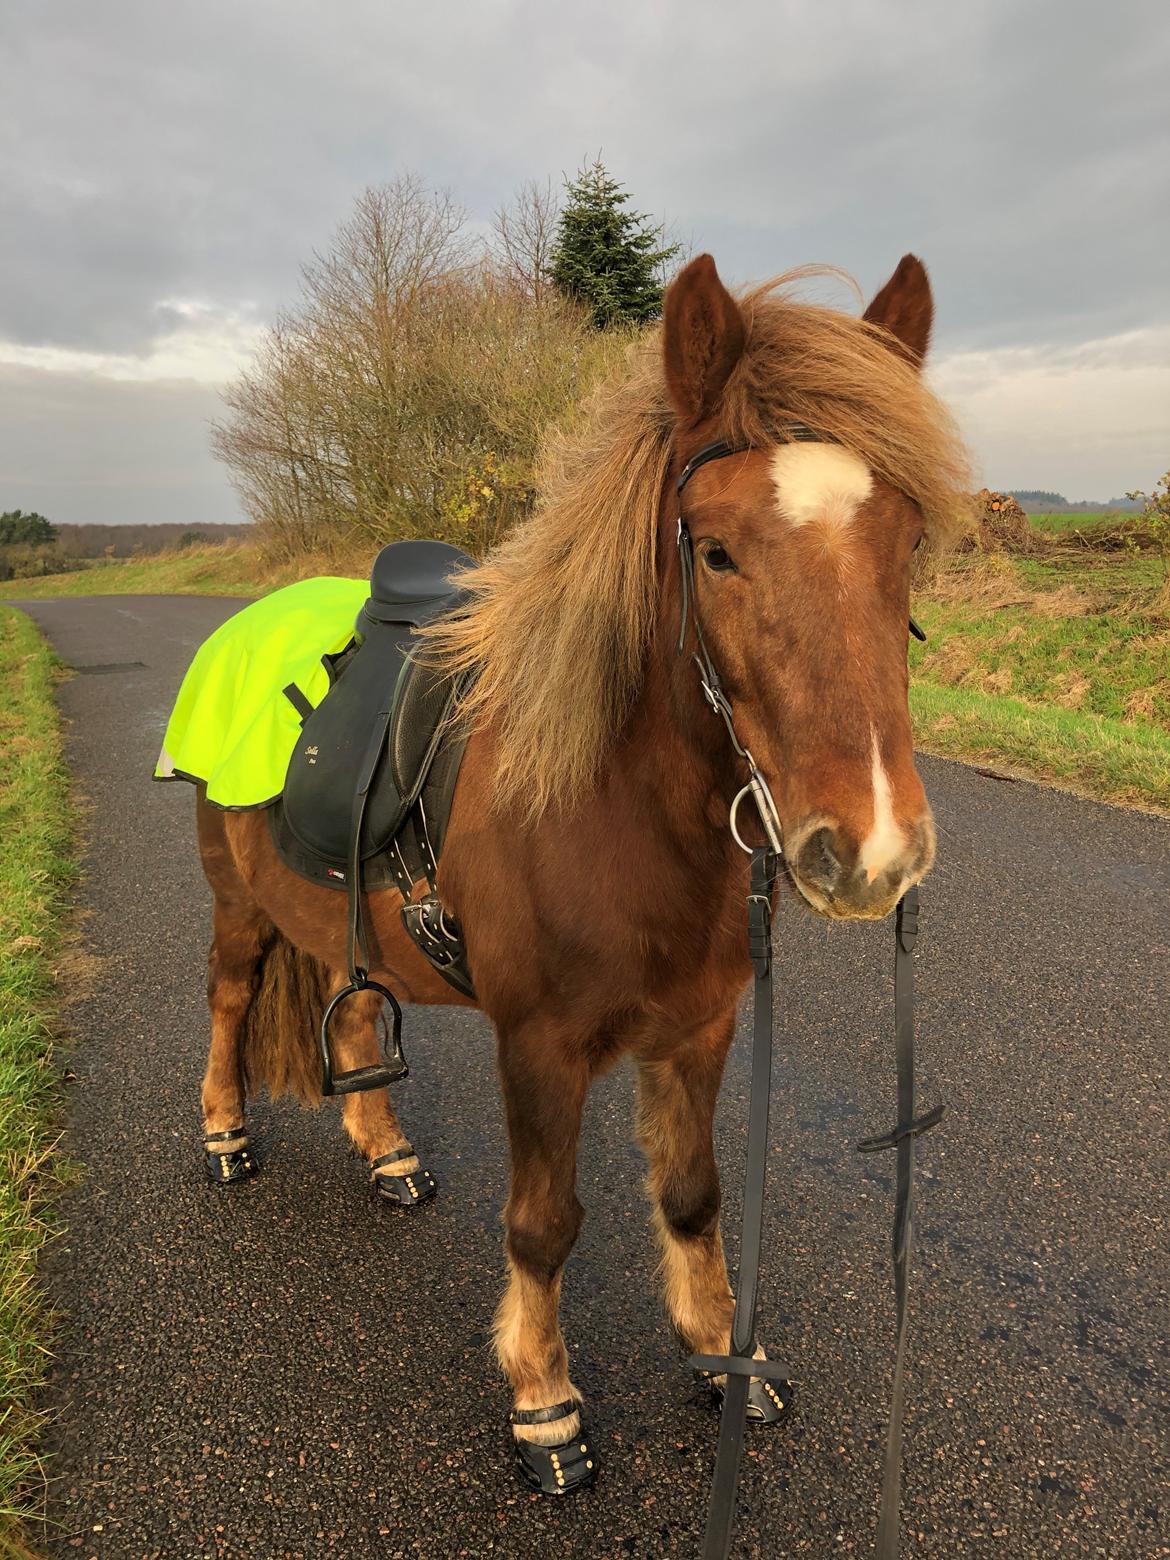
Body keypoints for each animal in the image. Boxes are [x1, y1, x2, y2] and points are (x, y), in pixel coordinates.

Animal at [195, 249, 973, 1491]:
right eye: (714, 549)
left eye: (905, 544)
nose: (873, 852)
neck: (616, 813)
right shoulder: (540, 1047)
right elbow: (544, 1224)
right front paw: (545, 1402)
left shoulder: (700, 1030)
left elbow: (695, 1197)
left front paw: (720, 1356)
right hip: (235, 901)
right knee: (228, 998)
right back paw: (224, 1134)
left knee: (350, 1006)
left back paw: (386, 1152)